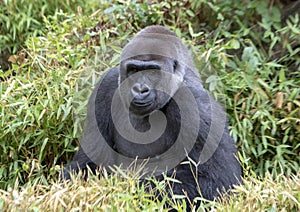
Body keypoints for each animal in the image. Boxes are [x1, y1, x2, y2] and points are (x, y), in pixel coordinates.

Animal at [62, 25, 243, 209]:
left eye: (153, 71)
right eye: (134, 70)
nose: (140, 89)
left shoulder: (196, 106)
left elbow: (217, 184)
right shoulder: (107, 85)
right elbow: (85, 164)